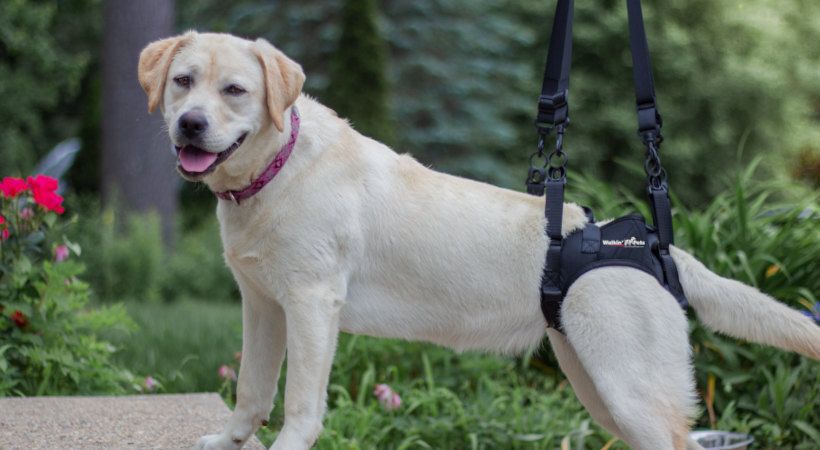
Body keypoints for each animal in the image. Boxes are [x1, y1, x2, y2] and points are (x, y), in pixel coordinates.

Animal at [138, 32, 816, 450]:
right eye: (183, 81)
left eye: (235, 91)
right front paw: (228, 440)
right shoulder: (263, 306)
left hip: (632, 391)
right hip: (600, 387)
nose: (190, 124)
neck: (276, 169)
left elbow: (301, 402)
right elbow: (251, 390)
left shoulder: (310, 306)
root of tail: (654, 246)